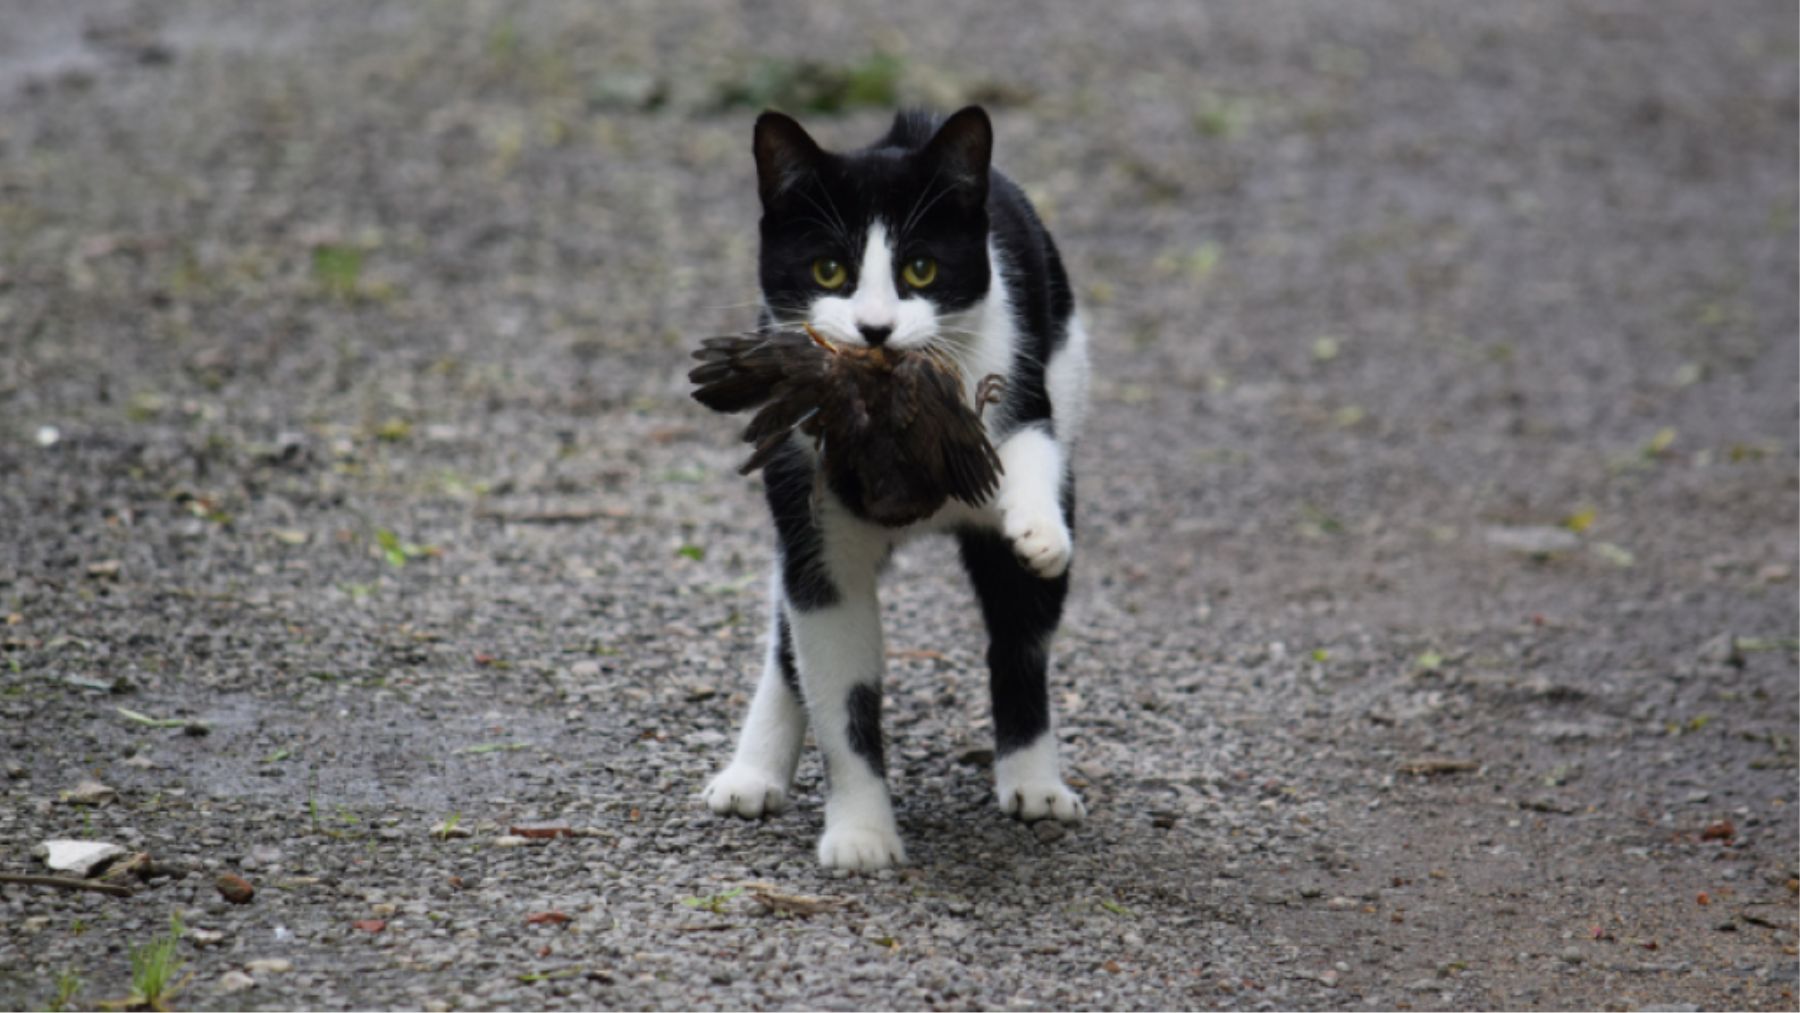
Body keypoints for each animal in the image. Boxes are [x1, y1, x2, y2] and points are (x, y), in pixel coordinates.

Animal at [702, 105, 1087, 870]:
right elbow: (839, 682)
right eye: (829, 269)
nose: (875, 328)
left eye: (921, 268)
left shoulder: (1018, 386)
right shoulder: (814, 508)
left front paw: (1037, 530)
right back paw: (753, 771)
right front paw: (861, 834)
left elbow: (1031, 447)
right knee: (787, 628)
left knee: (1022, 640)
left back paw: (1035, 783)